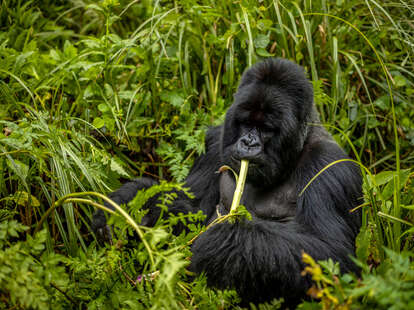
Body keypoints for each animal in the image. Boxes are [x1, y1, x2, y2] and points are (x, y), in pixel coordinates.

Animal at [93, 58, 362, 308]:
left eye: (266, 128)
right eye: (246, 122)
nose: (248, 142)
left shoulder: (330, 168)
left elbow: (332, 257)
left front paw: (224, 242)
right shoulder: (216, 141)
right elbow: (191, 209)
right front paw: (128, 206)